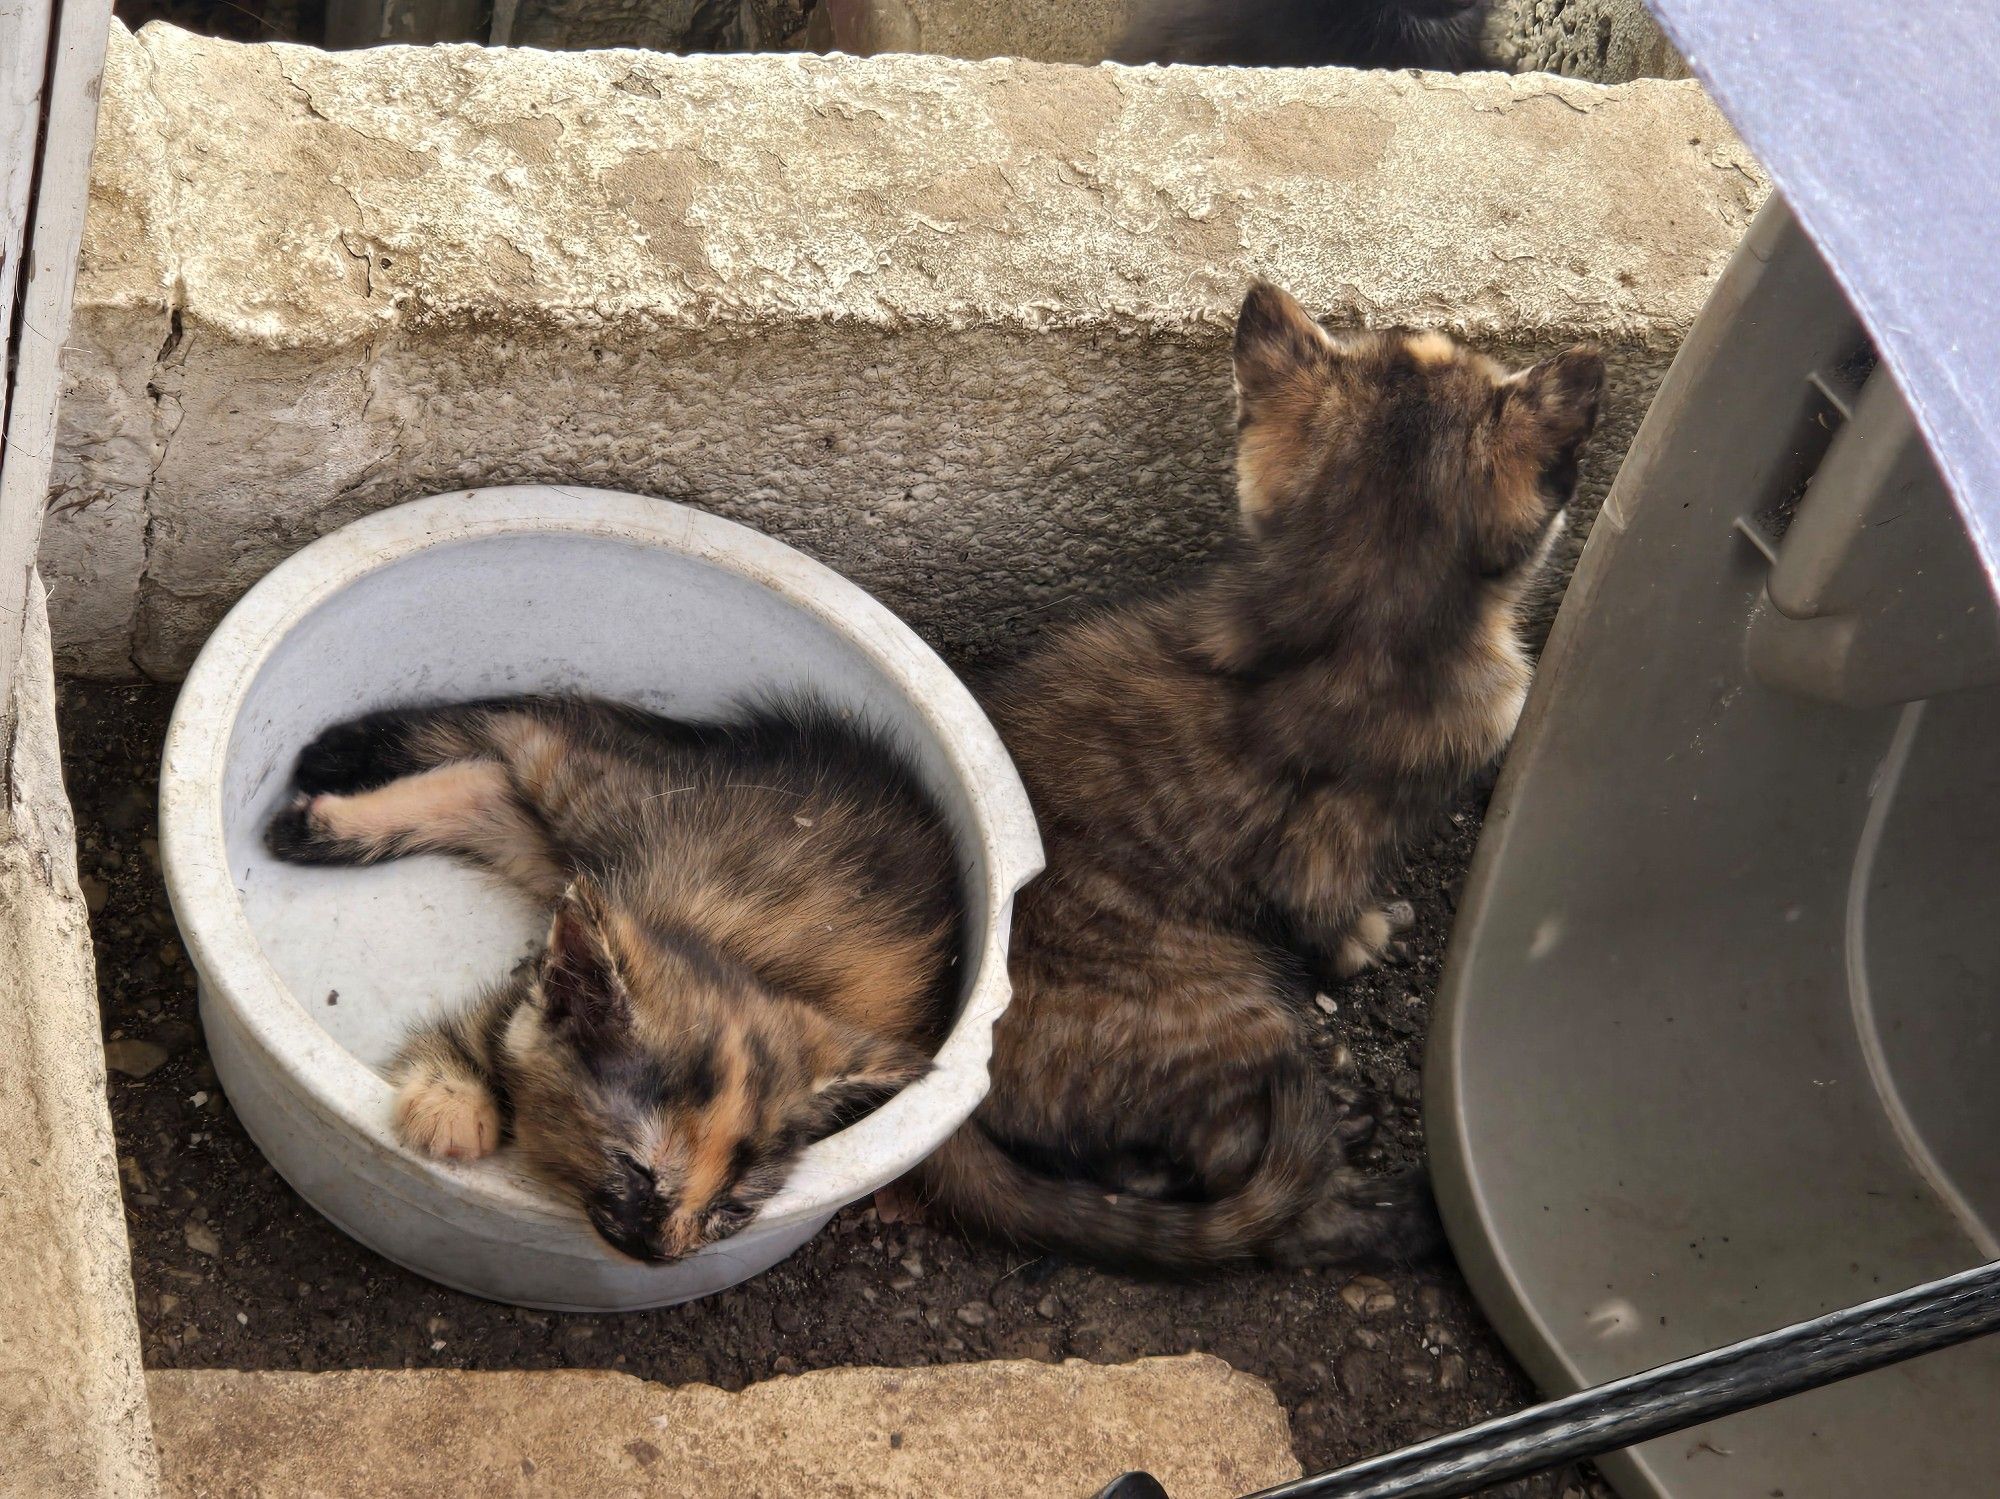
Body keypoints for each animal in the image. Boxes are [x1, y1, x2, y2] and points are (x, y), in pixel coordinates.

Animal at [266, 699, 960, 1263]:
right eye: (635, 1168)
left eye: (731, 1210)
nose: (661, 1251)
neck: (723, 952)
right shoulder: (548, 988)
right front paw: (451, 1105)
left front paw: (451, 1100)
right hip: (608, 800)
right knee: (527, 732)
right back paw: (326, 768)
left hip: (584, 856)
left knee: (491, 782)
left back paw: (316, 821)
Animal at [924, 283, 1608, 1279]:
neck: (1359, 596)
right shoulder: (1334, 850)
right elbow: (1333, 917)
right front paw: (1370, 934)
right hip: (1236, 1014)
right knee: (1267, 1204)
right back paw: (1391, 1203)